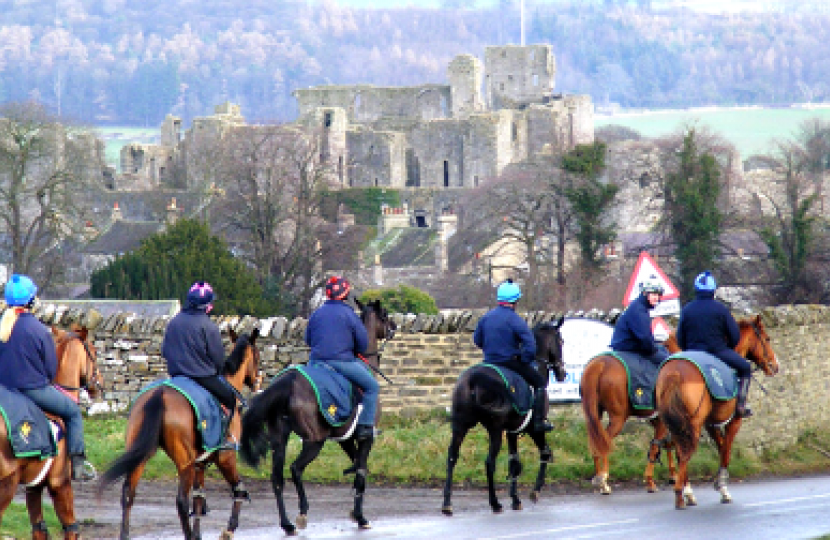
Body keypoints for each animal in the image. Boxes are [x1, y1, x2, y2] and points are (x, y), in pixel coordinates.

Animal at [100, 326, 264, 540]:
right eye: (258, 356)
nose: (257, 382)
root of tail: (160, 394)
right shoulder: (226, 458)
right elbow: (238, 491)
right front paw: (229, 529)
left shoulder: (199, 464)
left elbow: (199, 499)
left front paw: (198, 533)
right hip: (184, 462)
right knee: (181, 502)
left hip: (141, 455)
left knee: (128, 493)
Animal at [240, 300, 396, 536]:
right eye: (384, 315)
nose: (394, 326)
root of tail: (289, 380)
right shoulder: (365, 438)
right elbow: (361, 470)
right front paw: (360, 517)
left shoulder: (345, 439)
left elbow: (359, 467)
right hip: (314, 440)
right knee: (296, 469)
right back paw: (302, 513)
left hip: (280, 440)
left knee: (277, 478)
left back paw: (287, 524)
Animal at [442, 316, 572, 516]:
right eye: (561, 341)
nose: (562, 373)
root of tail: (473, 379)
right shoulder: (534, 430)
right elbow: (544, 452)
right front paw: (534, 491)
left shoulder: (512, 432)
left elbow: (514, 463)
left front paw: (515, 498)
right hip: (495, 429)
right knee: (490, 463)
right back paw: (495, 503)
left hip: (460, 426)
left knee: (452, 457)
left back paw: (447, 503)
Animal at [580, 334, 684, 494]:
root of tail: (600, 364)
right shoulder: (664, 421)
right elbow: (656, 447)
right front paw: (650, 481)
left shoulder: (659, 421)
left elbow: (666, 444)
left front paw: (673, 475)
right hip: (618, 419)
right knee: (604, 443)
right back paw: (603, 480)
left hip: (594, 417)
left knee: (595, 442)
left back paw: (599, 478)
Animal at [656, 314, 780, 508]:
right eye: (767, 339)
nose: (775, 365)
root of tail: (675, 371)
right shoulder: (733, 421)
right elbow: (726, 450)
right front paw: (722, 485)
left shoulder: (711, 424)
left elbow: (722, 448)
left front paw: (722, 485)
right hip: (692, 426)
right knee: (684, 454)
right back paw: (681, 495)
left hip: (676, 425)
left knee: (679, 452)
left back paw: (685, 491)